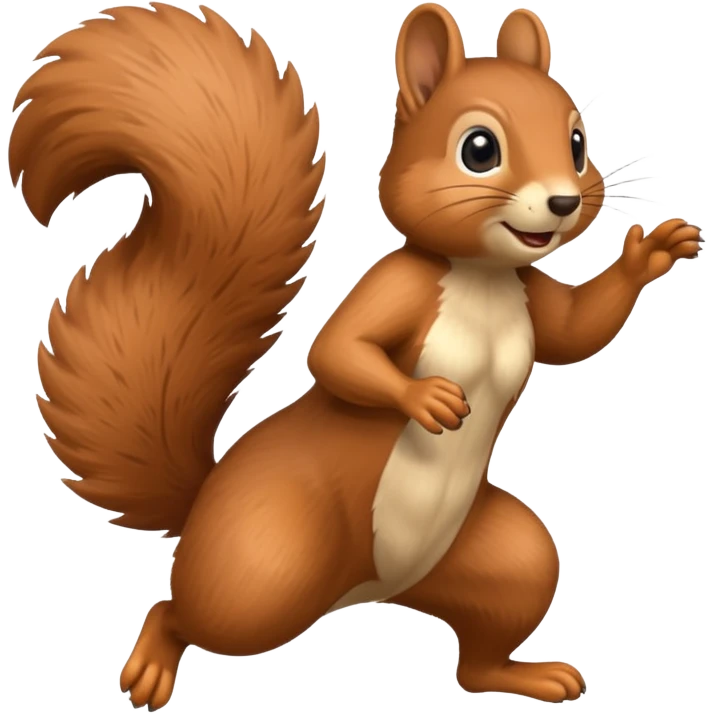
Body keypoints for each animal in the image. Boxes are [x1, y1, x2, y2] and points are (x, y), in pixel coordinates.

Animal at [16, 1, 704, 709]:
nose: (566, 201)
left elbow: (575, 332)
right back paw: (151, 664)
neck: (481, 276)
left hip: (498, 559)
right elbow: (337, 353)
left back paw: (527, 675)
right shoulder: (397, 285)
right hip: (263, 566)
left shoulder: (529, 293)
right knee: (181, 611)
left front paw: (649, 256)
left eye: (576, 143)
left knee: (479, 656)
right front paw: (426, 396)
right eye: (479, 149)